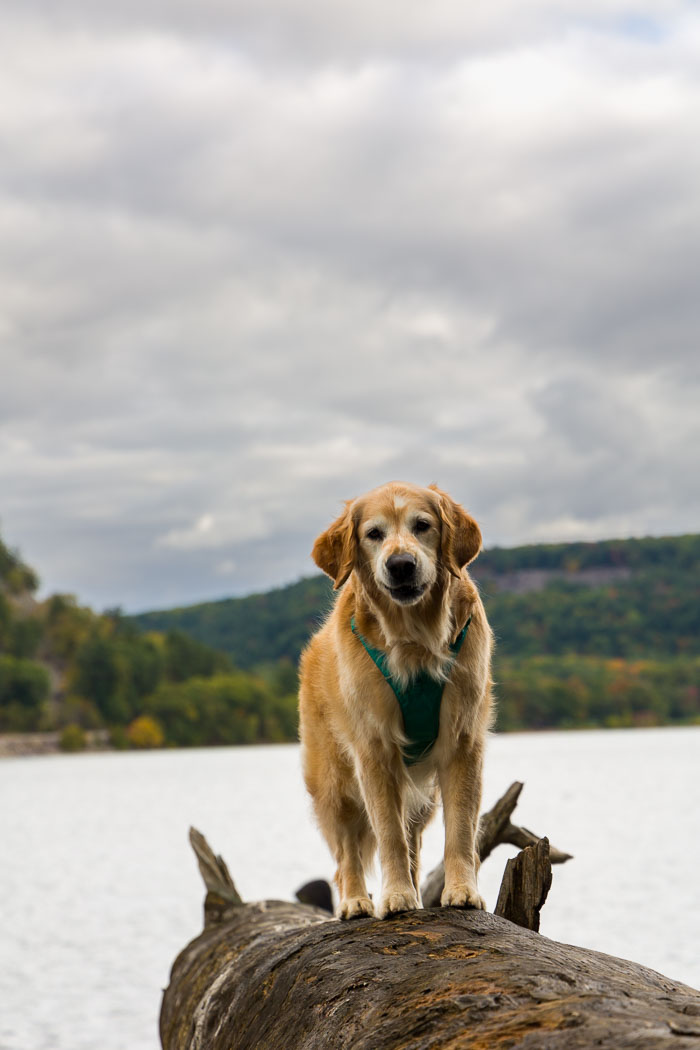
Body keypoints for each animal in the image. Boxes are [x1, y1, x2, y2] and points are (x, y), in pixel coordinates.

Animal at [300, 480, 493, 915]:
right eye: (373, 534)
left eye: (422, 525)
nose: (400, 564)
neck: (415, 640)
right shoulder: (374, 750)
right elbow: (388, 834)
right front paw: (396, 896)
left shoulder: (462, 743)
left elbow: (460, 829)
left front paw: (462, 890)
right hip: (335, 783)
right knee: (346, 854)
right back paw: (355, 901)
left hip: (421, 799)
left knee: (414, 842)